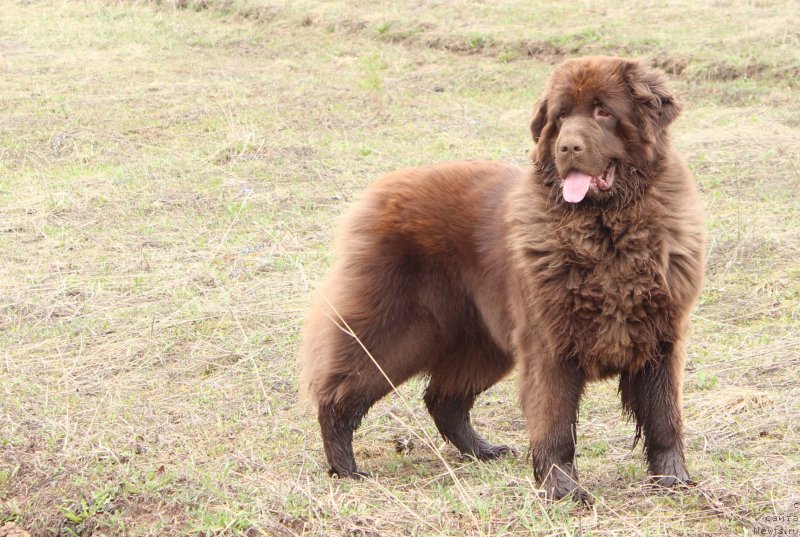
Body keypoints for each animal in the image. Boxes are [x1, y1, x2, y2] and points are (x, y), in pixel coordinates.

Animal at [300, 56, 708, 500]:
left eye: (603, 112)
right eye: (561, 116)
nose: (567, 147)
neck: (604, 233)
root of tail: (380, 189)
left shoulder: (663, 338)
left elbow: (665, 417)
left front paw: (673, 479)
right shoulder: (549, 344)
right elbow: (555, 422)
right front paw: (562, 490)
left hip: (481, 341)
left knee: (443, 399)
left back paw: (482, 451)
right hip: (395, 331)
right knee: (339, 393)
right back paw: (345, 468)